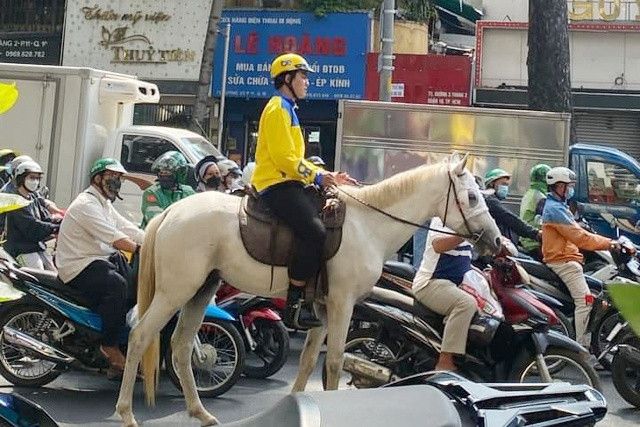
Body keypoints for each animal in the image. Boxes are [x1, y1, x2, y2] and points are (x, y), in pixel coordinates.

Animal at [117, 154, 502, 427]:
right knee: (140, 336)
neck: (369, 225)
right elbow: (333, 362)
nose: (497, 241)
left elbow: (306, 362)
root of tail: (168, 213)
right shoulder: (342, 303)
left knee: (182, 346)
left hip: (201, 289)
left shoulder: (320, 309)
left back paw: (200, 412)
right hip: (174, 291)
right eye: (471, 196)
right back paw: (127, 413)